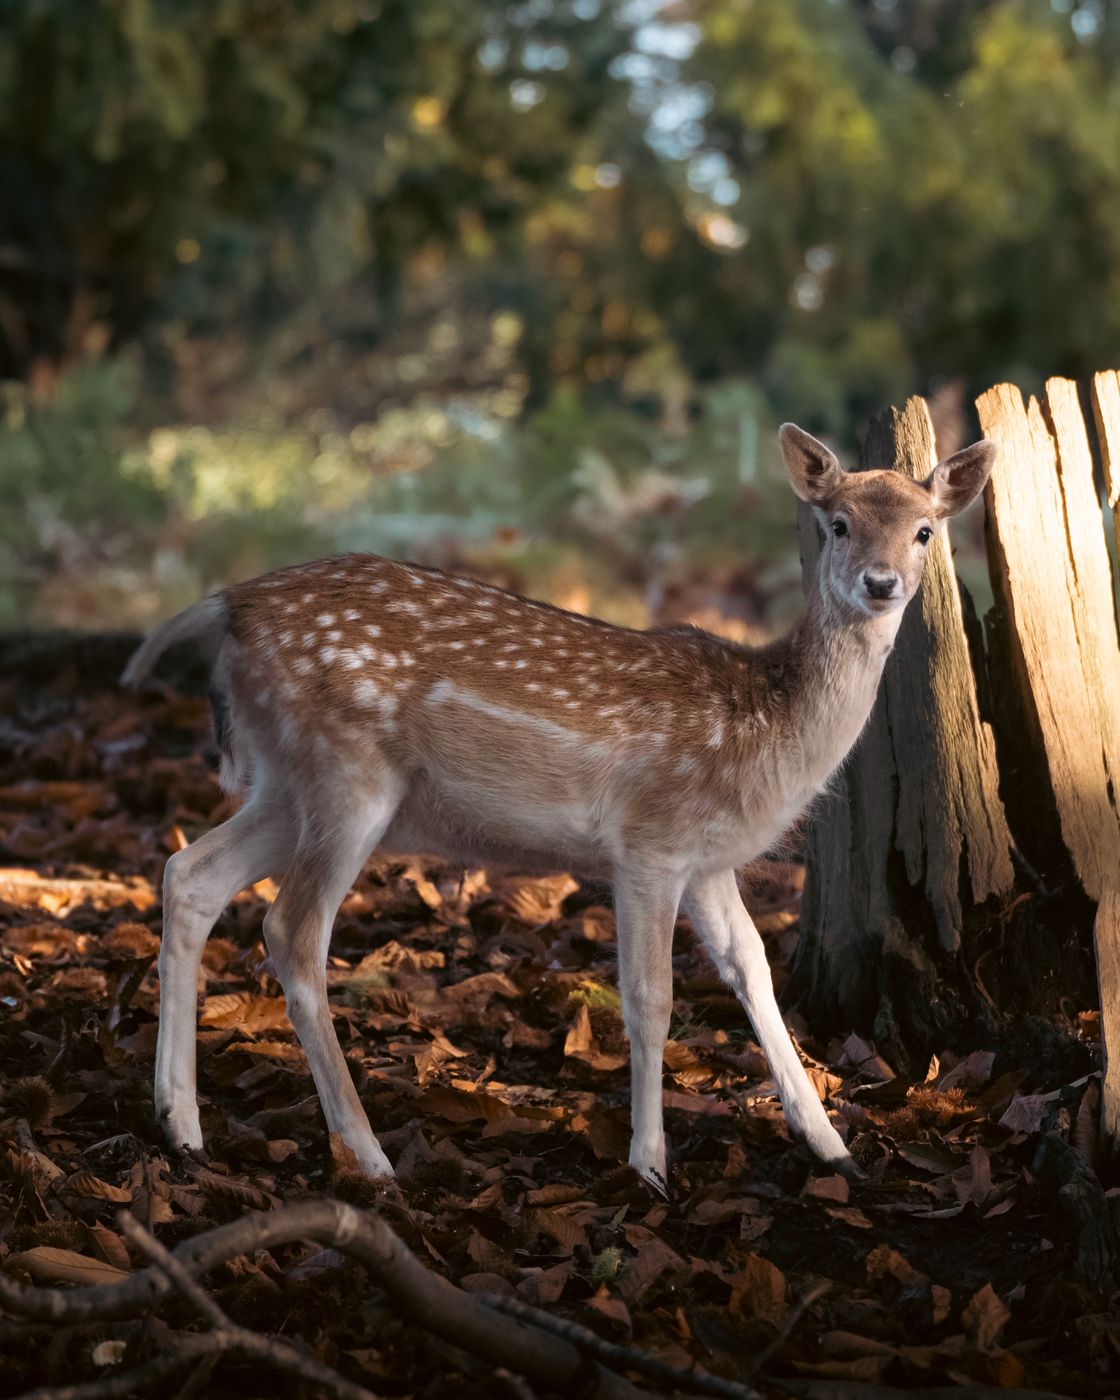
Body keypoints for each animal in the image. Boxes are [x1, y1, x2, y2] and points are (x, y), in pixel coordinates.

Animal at [122, 423, 996, 1194]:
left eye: (924, 532)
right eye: (838, 524)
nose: (879, 583)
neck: (765, 737)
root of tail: (224, 607)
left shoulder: (710, 861)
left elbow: (754, 972)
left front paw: (832, 1145)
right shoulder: (649, 842)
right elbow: (650, 1000)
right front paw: (649, 1167)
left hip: (287, 781)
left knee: (189, 873)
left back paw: (181, 1126)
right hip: (346, 771)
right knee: (291, 931)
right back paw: (368, 1157)